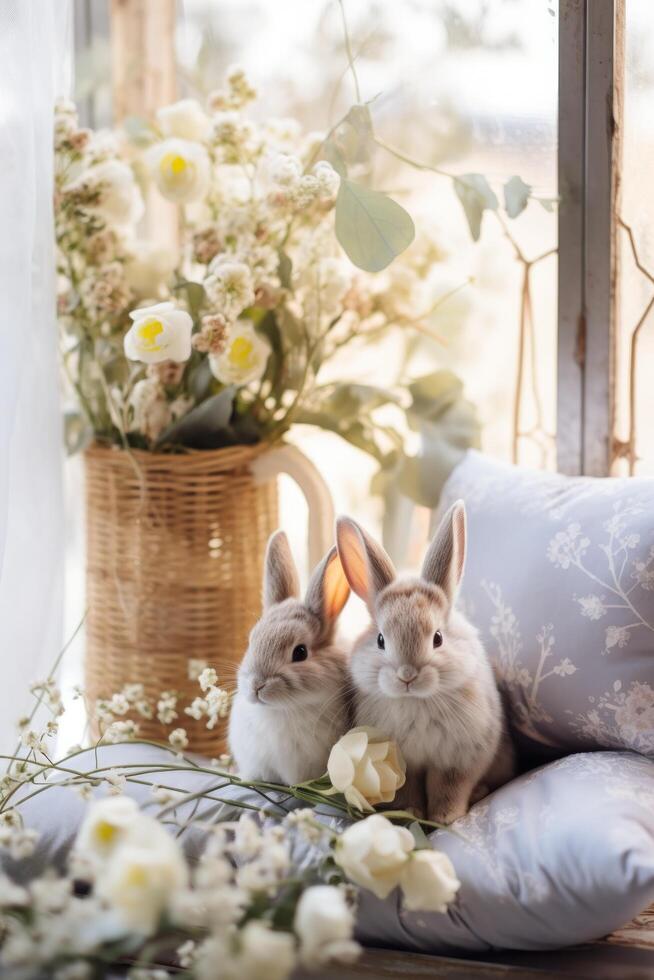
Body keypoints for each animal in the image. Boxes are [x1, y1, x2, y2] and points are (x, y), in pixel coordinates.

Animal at [338, 502, 516, 824]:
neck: (416, 702)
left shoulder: (459, 760)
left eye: (437, 638)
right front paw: (410, 813)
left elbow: (449, 788)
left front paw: (445, 818)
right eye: (381, 640)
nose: (407, 675)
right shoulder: (400, 763)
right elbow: (406, 790)